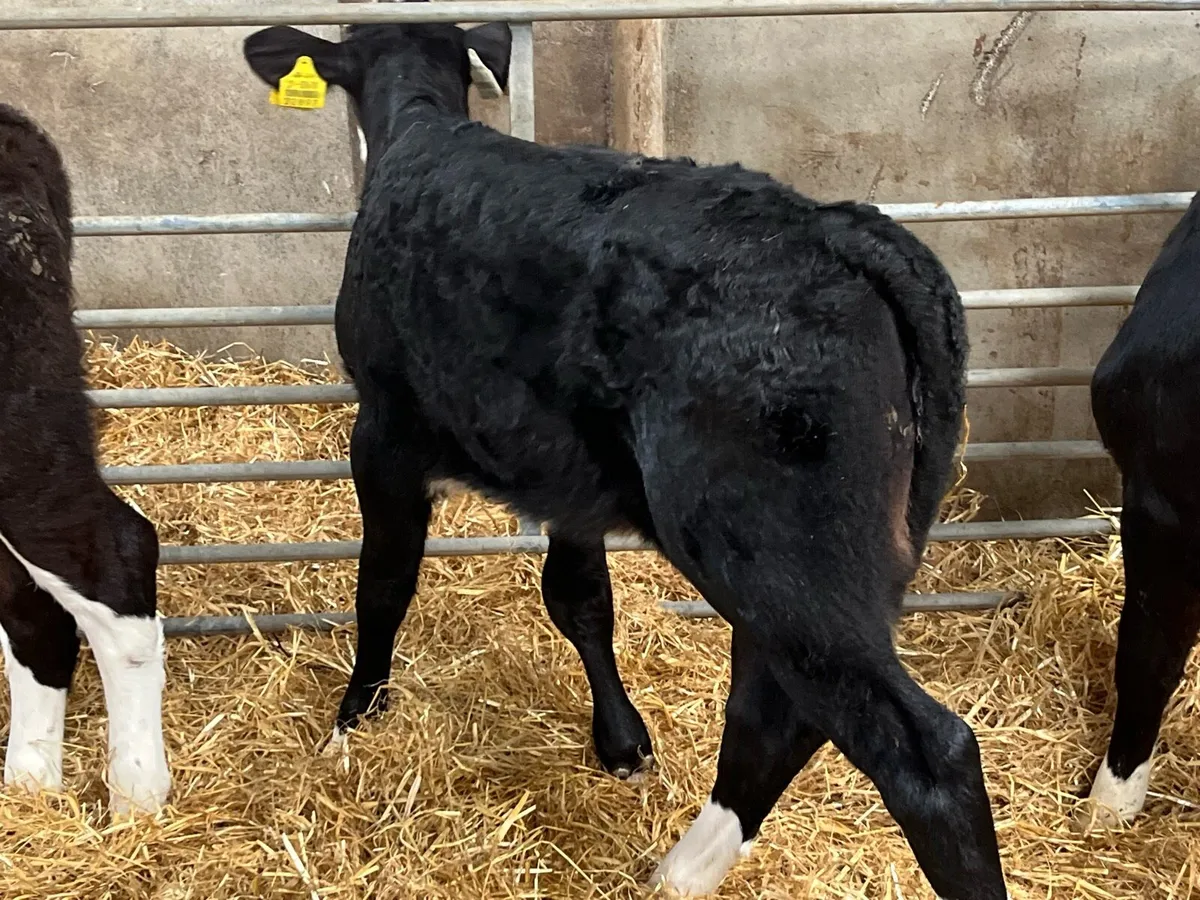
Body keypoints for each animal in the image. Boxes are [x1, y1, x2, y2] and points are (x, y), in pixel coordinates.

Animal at [243, 17, 1005, 898]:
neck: (422, 128)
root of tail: (845, 229)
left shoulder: (383, 430)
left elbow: (384, 585)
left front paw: (353, 720)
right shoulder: (568, 480)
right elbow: (580, 600)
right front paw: (620, 741)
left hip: (774, 551)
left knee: (922, 752)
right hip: (859, 553)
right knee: (776, 708)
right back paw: (683, 869)